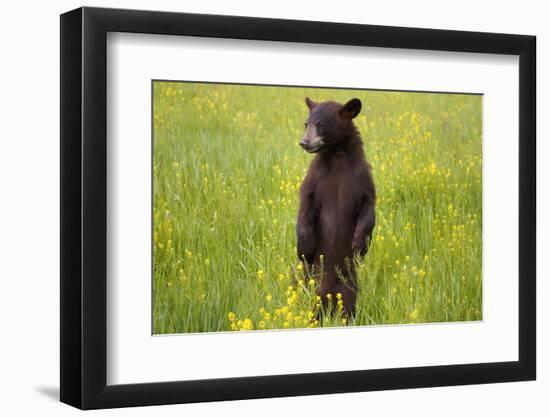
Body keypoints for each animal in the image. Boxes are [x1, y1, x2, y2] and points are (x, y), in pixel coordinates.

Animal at [296, 96, 378, 316]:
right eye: (306, 123)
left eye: (320, 124)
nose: (304, 142)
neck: (337, 156)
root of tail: (327, 295)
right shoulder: (316, 179)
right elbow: (305, 204)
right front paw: (304, 246)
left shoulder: (361, 178)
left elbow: (369, 208)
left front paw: (359, 245)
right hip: (305, 279)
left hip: (350, 286)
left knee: (349, 304)